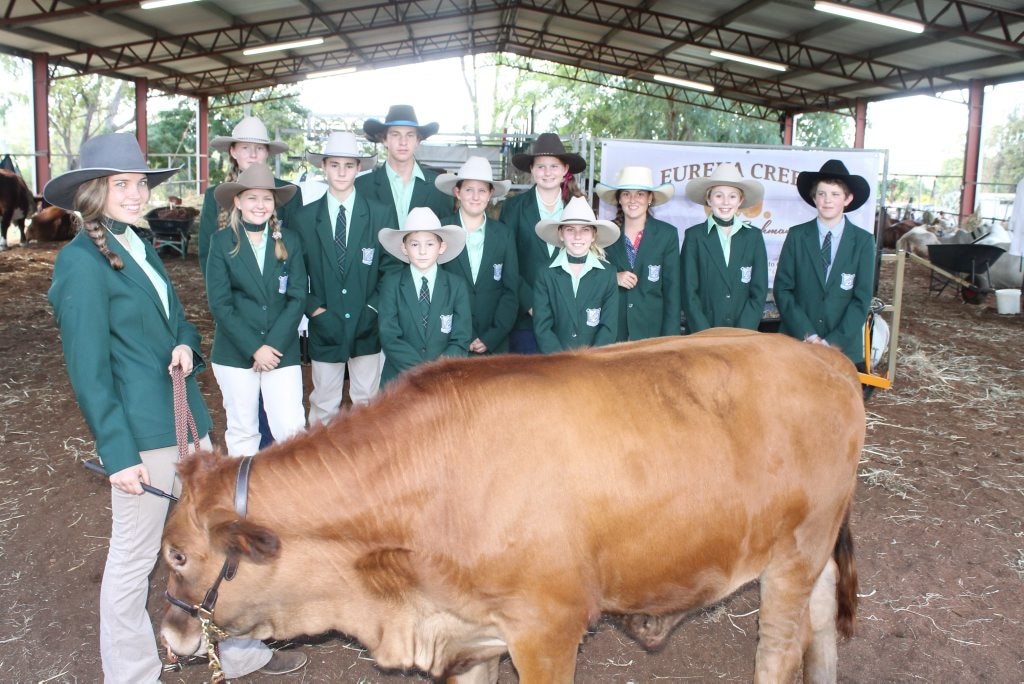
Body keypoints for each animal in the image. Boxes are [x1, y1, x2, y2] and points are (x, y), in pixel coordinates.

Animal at [159, 329, 864, 679]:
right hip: (814, 552)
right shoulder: (470, 635)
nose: (168, 634)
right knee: (824, 618)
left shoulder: (549, 631)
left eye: (177, 556)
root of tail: (821, 354)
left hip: (794, 554)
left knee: (780, 648)